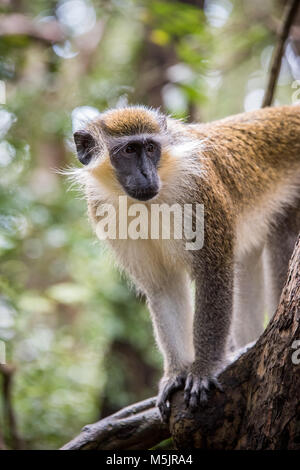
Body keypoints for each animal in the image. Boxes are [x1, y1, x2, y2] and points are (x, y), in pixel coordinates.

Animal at [72, 104, 300, 420]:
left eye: (150, 148)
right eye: (129, 150)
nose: (146, 174)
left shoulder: (200, 192)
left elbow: (214, 273)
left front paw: (203, 370)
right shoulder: (103, 210)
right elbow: (164, 287)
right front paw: (176, 373)